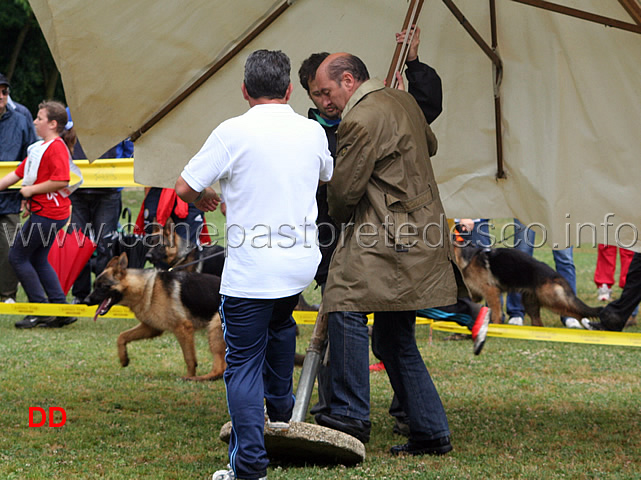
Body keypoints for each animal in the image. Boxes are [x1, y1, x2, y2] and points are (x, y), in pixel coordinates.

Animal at [85, 251, 225, 382]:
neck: (145, 287)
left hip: (214, 328)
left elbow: (189, 359)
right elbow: (122, 336)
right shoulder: (151, 328)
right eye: (94, 286)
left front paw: (190, 375)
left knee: (220, 369)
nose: (85, 301)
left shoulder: (183, 329)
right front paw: (123, 358)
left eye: (103, 287)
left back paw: (196, 379)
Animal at [450, 244, 600, 326]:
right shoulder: (475, 294)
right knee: (539, 324)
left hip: (552, 301)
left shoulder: (491, 292)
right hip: (531, 304)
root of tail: (556, 276)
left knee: (577, 312)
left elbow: (496, 312)